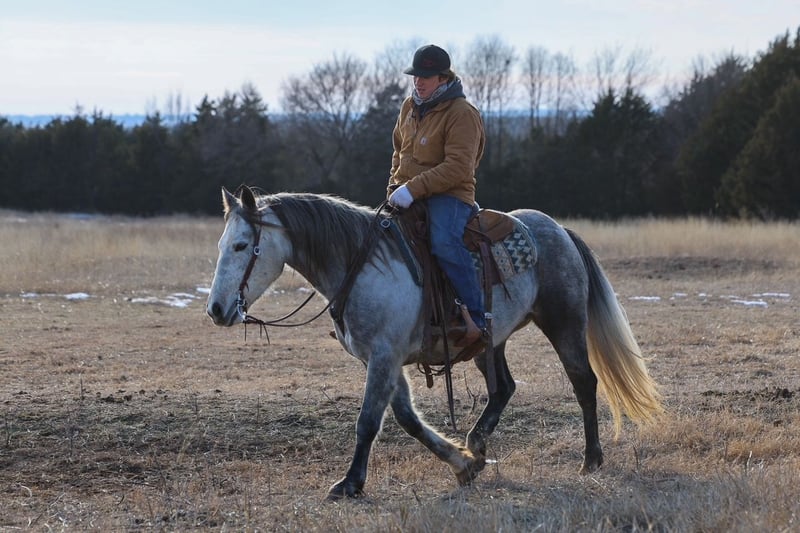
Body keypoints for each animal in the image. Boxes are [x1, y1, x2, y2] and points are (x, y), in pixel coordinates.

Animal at [206, 185, 663, 500]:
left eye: (242, 245)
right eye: (222, 244)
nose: (216, 309)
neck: (362, 264)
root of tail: (559, 230)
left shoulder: (384, 356)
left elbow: (368, 421)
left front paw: (350, 483)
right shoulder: (382, 359)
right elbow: (407, 418)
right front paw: (462, 463)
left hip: (564, 323)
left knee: (584, 383)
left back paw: (591, 459)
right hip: (491, 343)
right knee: (503, 387)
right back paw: (477, 443)